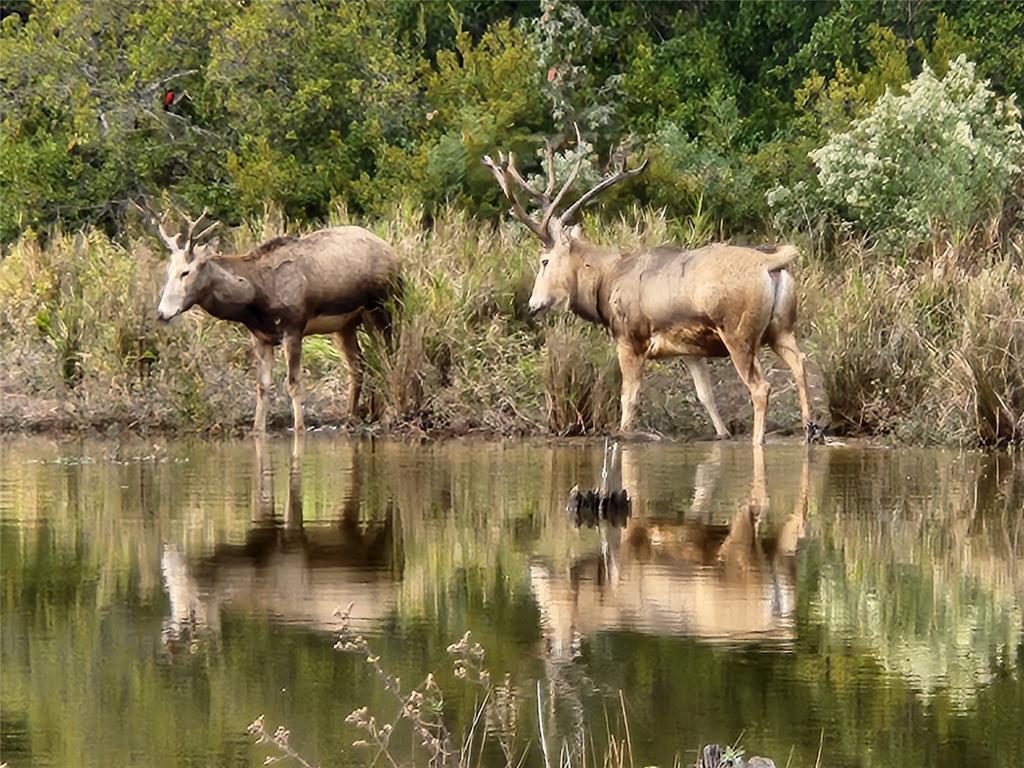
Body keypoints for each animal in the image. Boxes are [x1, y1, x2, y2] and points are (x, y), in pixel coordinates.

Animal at [138, 204, 401, 434]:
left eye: (186, 272)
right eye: (168, 271)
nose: (162, 312)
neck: (254, 299)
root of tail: (392, 252)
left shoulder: (293, 328)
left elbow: (293, 383)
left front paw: (299, 428)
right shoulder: (260, 337)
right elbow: (262, 386)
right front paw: (257, 429)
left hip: (384, 306)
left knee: (388, 357)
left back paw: (385, 412)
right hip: (345, 325)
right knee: (359, 365)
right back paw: (353, 416)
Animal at [483, 126, 811, 444]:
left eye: (544, 261)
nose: (533, 303)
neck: (604, 285)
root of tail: (772, 263)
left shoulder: (630, 337)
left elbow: (628, 400)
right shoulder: (689, 350)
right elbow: (706, 397)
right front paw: (722, 432)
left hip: (738, 332)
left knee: (761, 386)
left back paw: (760, 440)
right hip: (782, 328)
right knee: (800, 366)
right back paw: (809, 429)